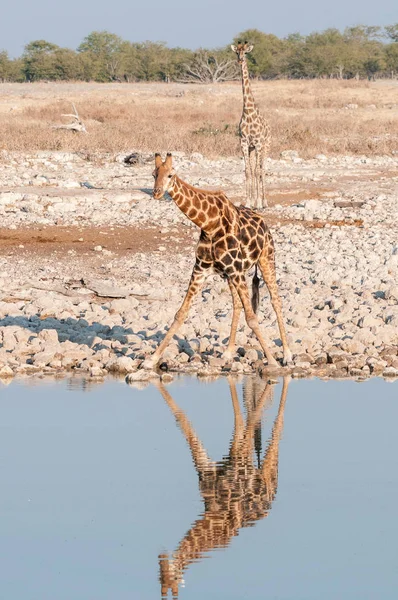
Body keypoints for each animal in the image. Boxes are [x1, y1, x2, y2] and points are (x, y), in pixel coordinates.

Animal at [143, 154, 292, 370]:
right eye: (154, 174)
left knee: (275, 300)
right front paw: (152, 359)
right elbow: (181, 313)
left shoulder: (236, 270)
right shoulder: (201, 270)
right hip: (230, 275)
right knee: (237, 305)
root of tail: (263, 221)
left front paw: (272, 360)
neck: (209, 225)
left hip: (266, 259)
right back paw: (228, 353)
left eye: (170, 175)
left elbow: (252, 318)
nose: (156, 192)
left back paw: (287, 354)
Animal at [155, 376, 290, 596]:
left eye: (172, 579)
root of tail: (271, 499)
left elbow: (244, 421)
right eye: (160, 576)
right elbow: (183, 420)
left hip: (269, 467)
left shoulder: (238, 457)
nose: (162, 558)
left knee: (277, 426)